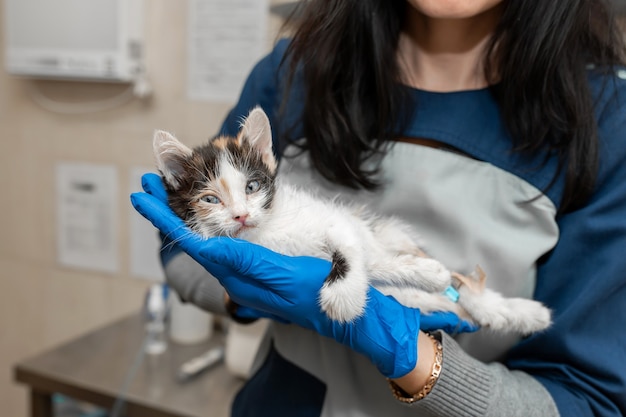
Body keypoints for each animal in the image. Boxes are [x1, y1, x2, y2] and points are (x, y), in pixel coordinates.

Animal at [154, 107, 548, 334]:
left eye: (251, 187)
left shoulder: (333, 220)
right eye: (210, 199)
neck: (266, 235)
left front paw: (344, 295)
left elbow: (351, 252)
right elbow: (370, 263)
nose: (241, 214)